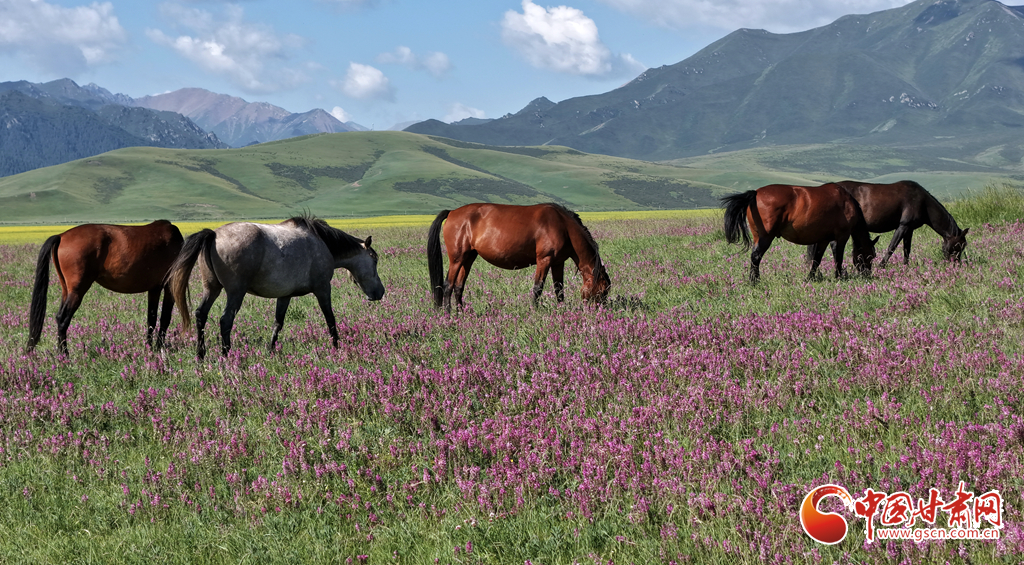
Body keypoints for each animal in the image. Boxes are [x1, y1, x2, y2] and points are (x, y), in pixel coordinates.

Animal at [25, 220, 184, 355]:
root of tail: (61, 236)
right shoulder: (169, 287)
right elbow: (165, 318)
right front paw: (159, 347)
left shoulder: (154, 288)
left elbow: (152, 318)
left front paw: (149, 347)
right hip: (77, 291)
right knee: (63, 319)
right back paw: (65, 355)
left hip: (66, 290)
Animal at [167, 215, 385, 359]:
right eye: (374, 260)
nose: (380, 293)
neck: (323, 243)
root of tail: (213, 234)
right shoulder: (323, 288)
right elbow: (330, 319)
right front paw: (337, 347)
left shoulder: (285, 295)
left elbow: (277, 323)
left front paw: (270, 351)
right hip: (235, 292)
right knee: (225, 320)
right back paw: (226, 355)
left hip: (211, 288)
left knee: (200, 314)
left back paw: (200, 355)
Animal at [427, 203, 611, 312]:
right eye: (603, 291)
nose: (601, 312)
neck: (563, 226)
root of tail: (452, 212)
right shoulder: (544, 260)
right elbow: (538, 288)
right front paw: (534, 311)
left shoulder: (558, 263)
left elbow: (559, 288)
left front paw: (562, 310)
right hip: (456, 259)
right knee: (448, 285)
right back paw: (449, 314)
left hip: (468, 258)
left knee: (459, 287)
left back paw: (462, 312)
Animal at [722, 184, 878, 283]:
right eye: (871, 256)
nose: (867, 274)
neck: (847, 202)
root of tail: (755, 193)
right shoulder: (841, 237)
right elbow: (838, 257)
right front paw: (839, 276)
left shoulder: (823, 239)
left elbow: (817, 259)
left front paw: (811, 277)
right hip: (765, 237)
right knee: (756, 257)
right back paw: (755, 281)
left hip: (757, 237)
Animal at [806, 180, 969, 267]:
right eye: (959, 245)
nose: (956, 264)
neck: (923, 203)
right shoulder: (903, 226)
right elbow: (892, 247)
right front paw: (881, 266)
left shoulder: (909, 229)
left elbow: (907, 249)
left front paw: (906, 267)